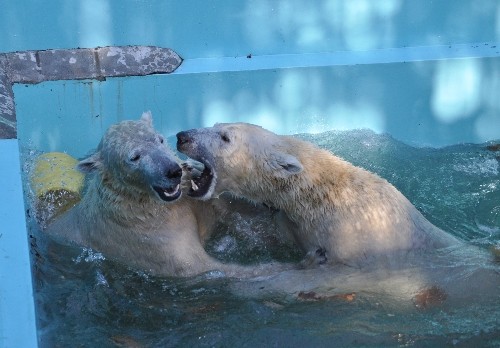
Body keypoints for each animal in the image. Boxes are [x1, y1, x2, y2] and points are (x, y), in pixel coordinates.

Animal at [45, 115, 292, 278]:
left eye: (160, 139)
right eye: (134, 157)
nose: (173, 171)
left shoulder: (187, 201)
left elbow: (226, 208)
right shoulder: (149, 241)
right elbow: (201, 267)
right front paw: (277, 267)